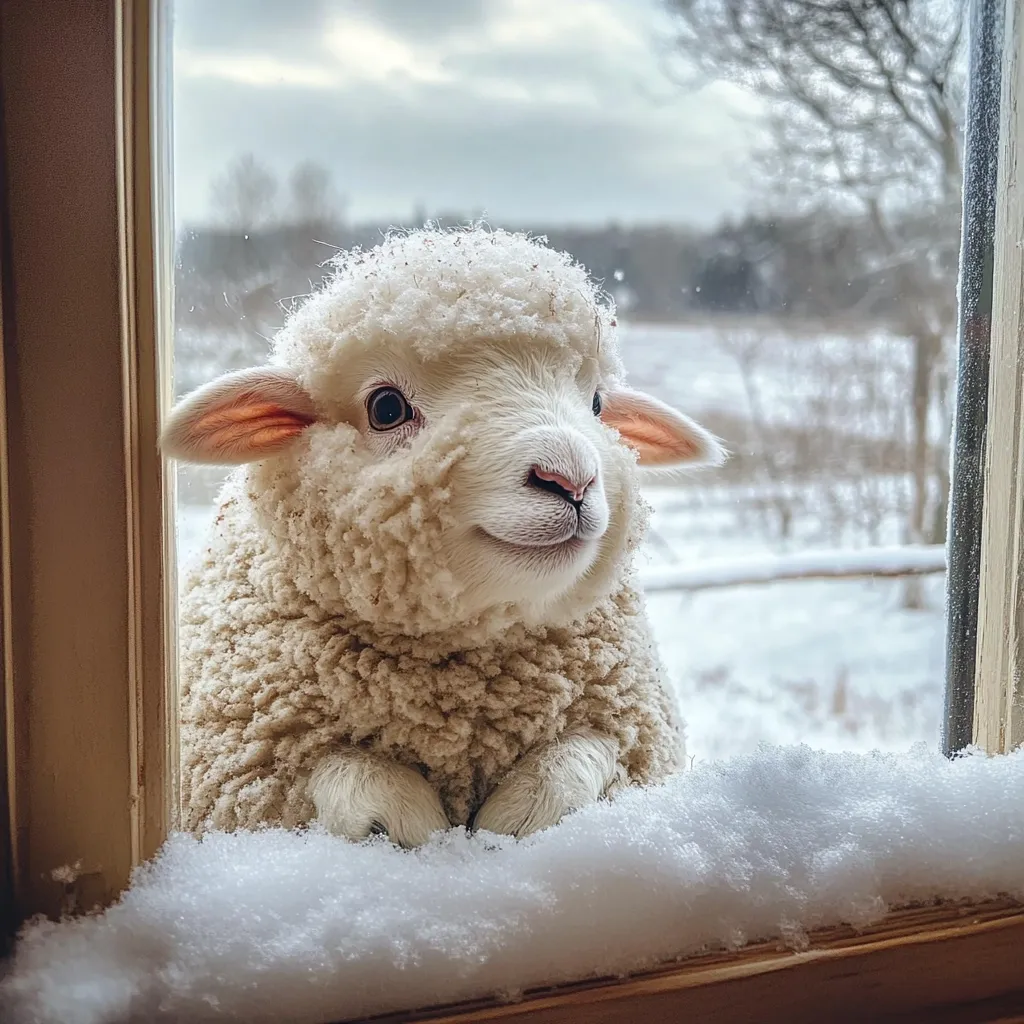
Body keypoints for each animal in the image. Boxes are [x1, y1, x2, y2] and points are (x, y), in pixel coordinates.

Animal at [163, 226, 724, 847]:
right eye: (386, 407)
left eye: (597, 403)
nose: (571, 480)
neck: (460, 693)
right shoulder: (247, 772)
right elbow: (352, 774)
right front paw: (415, 826)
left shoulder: (631, 733)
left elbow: (578, 757)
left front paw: (517, 816)